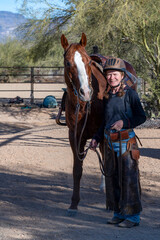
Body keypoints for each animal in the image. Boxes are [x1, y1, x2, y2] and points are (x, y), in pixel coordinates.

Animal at [60, 31, 138, 214]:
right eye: (68, 63)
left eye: (88, 61)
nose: (86, 92)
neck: (85, 105)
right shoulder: (75, 136)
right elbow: (77, 170)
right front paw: (74, 203)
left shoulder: (103, 133)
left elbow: (108, 161)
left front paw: (110, 201)